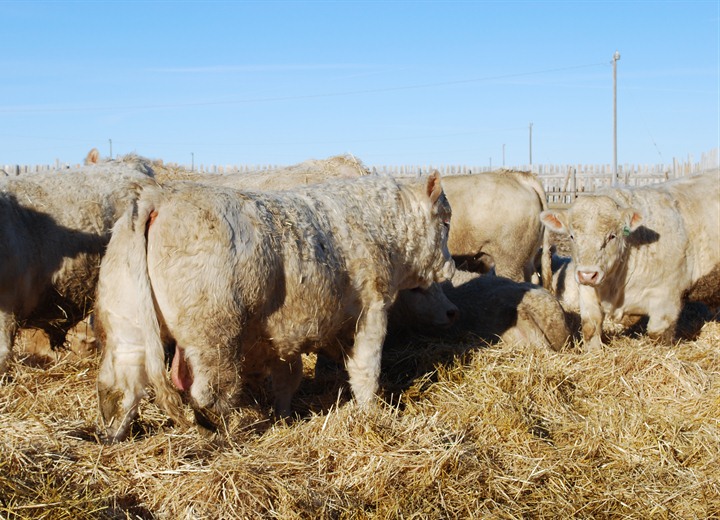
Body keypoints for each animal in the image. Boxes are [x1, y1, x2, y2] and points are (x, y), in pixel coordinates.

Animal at [95, 172, 455, 442]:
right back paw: (221, 433)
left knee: (124, 386)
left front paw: (284, 417)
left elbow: (287, 379)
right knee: (206, 394)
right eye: (446, 221)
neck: (375, 225)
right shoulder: (372, 311)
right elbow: (366, 370)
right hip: (214, 336)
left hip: (127, 325)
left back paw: (115, 434)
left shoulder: (285, 333)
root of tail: (160, 197)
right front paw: (373, 415)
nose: (450, 268)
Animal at [540, 170, 720, 349]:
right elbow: (590, 327)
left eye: (612, 236)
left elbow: (658, 334)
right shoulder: (587, 292)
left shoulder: (667, 298)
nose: (588, 274)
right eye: (572, 236)